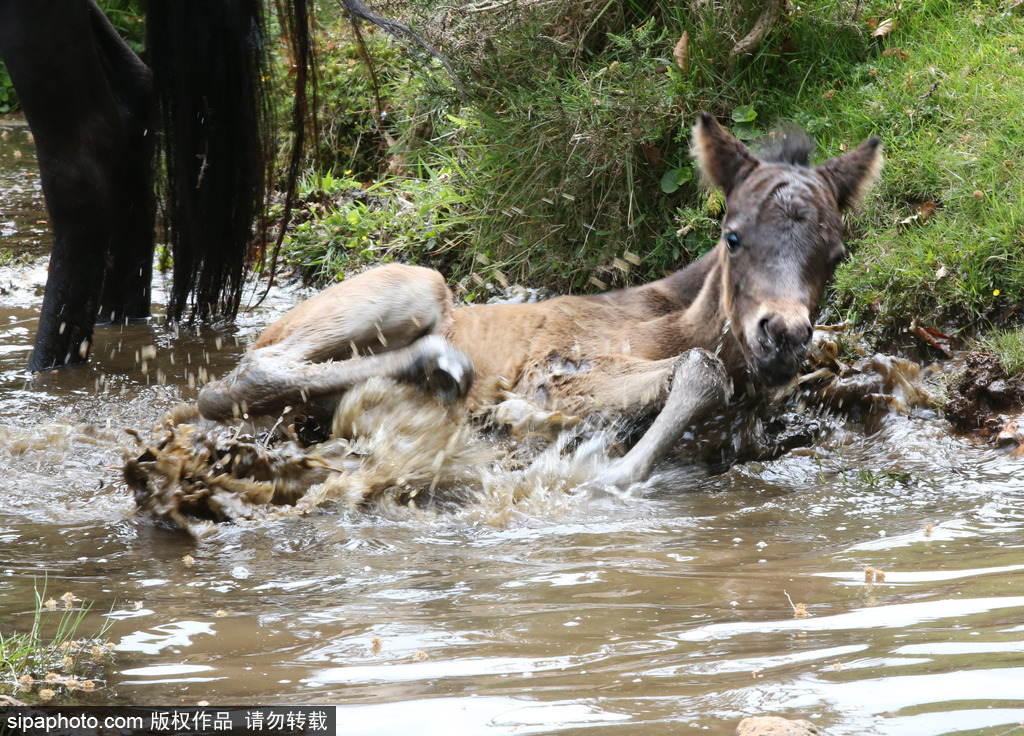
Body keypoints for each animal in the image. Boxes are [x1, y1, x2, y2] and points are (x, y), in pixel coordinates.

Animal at [197, 112, 880, 487]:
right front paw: (597, 469)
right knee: (239, 376)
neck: (683, 319)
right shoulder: (561, 366)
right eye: (733, 236)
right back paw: (437, 364)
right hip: (415, 284)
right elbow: (697, 371)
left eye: (837, 255)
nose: (782, 334)